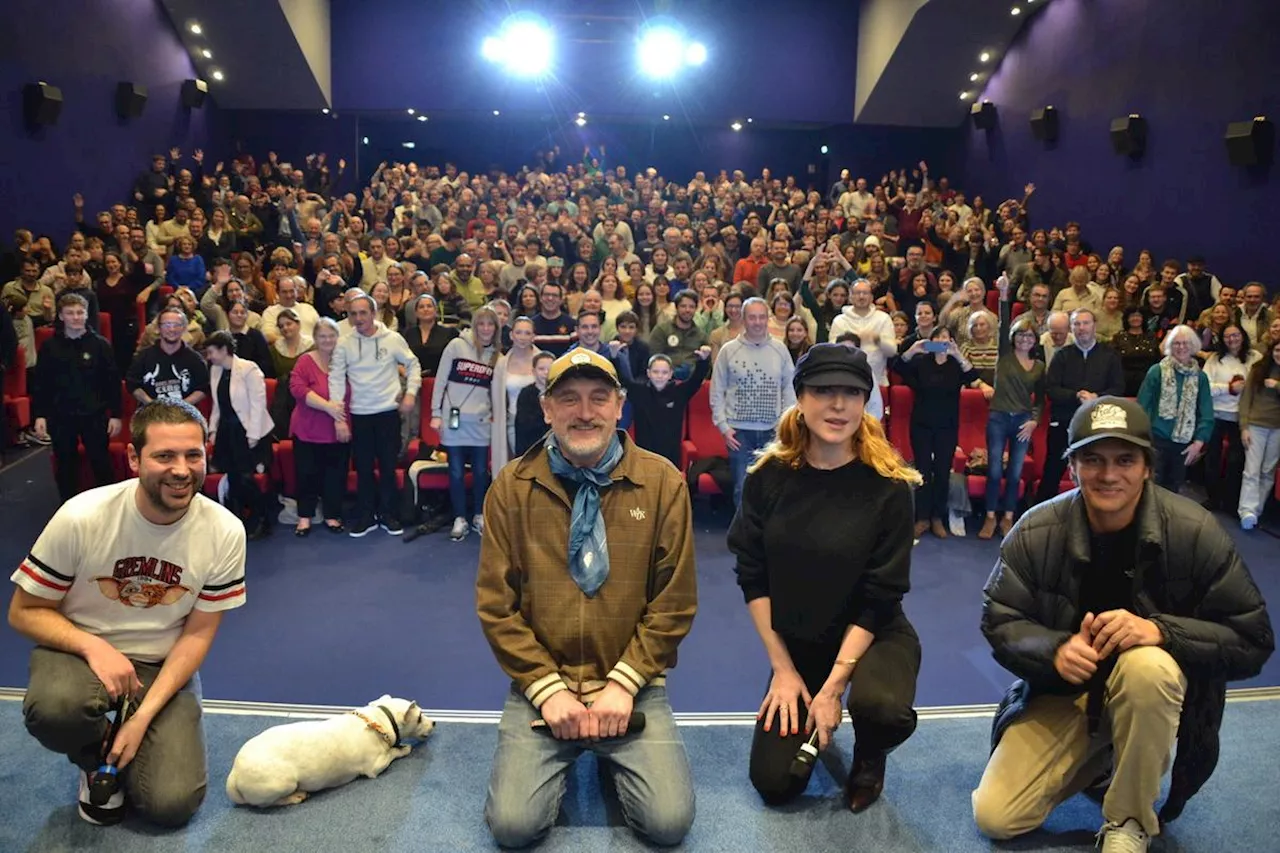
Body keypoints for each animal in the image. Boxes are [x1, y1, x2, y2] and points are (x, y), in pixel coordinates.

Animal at [226, 691, 435, 804]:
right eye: (419, 717)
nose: (434, 723)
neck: (380, 720)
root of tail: (234, 775)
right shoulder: (376, 766)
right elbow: (393, 752)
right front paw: (403, 748)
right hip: (283, 783)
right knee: (267, 804)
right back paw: (294, 797)